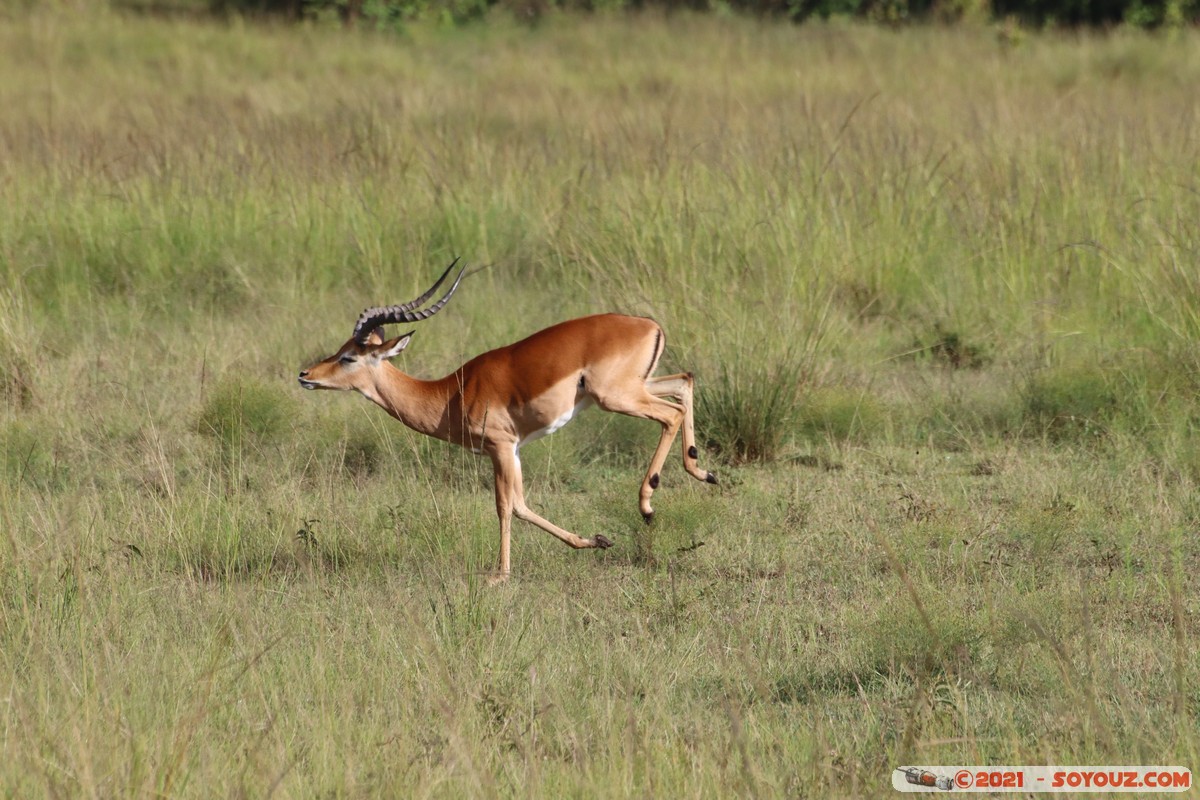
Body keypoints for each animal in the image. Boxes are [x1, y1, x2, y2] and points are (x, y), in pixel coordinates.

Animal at [298, 259, 717, 582]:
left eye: (349, 356)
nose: (305, 375)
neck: (450, 394)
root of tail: (649, 324)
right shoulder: (512, 449)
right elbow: (522, 504)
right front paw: (594, 541)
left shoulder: (499, 446)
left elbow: (505, 506)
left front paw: (499, 575)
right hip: (635, 387)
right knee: (684, 383)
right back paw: (703, 472)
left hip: (614, 396)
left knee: (671, 413)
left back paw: (648, 506)